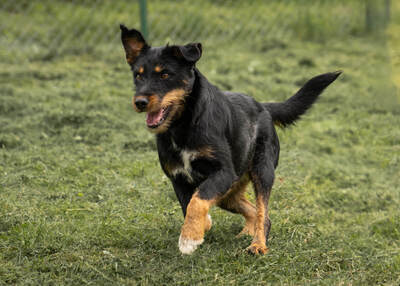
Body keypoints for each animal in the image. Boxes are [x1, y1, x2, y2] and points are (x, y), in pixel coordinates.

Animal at [119, 25, 340, 255]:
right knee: (255, 211)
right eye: (138, 76)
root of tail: (264, 106)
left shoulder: (222, 172)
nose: (140, 102)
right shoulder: (178, 177)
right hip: (230, 190)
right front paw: (200, 227)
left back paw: (258, 244)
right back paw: (246, 233)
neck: (184, 124)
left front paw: (189, 237)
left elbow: (197, 202)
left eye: (164, 74)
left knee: (263, 212)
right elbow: (190, 204)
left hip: (262, 170)